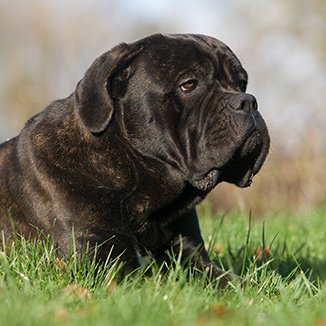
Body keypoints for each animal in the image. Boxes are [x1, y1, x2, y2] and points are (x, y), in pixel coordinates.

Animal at [0, 33, 270, 286]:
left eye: (241, 83)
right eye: (189, 84)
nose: (248, 101)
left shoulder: (193, 258)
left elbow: (235, 283)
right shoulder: (100, 262)